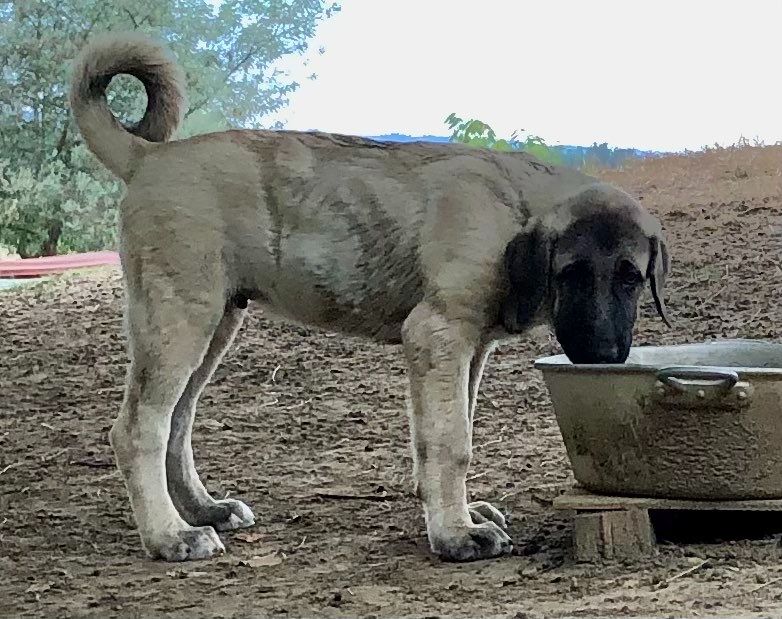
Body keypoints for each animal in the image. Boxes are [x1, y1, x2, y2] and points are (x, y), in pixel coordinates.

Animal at [69, 34, 672, 568]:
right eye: (570, 275)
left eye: (632, 278)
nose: (604, 355)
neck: (512, 213)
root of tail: (149, 156)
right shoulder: (437, 336)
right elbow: (451, 440)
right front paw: (455, 536)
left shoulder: (469, 351)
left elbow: (447, 434)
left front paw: (456, 513)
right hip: (179, 320)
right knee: (139, 430)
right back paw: (169, 536)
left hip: (214, 323)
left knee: (176, 425)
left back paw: (204, 511)